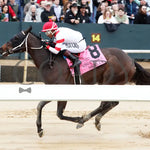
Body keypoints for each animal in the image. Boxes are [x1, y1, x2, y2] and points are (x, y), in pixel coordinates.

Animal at [0, 27, 150, 137]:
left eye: (16, 38)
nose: (2, 48)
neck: (51, 62)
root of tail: (131, 60)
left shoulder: (61, 88)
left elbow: (54, 111)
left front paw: (77, 119)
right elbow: (46, 108)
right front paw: (40, 128)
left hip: (110, 81)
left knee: (107, 103)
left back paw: (86, 119)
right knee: (112, 103)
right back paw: (95, 120)